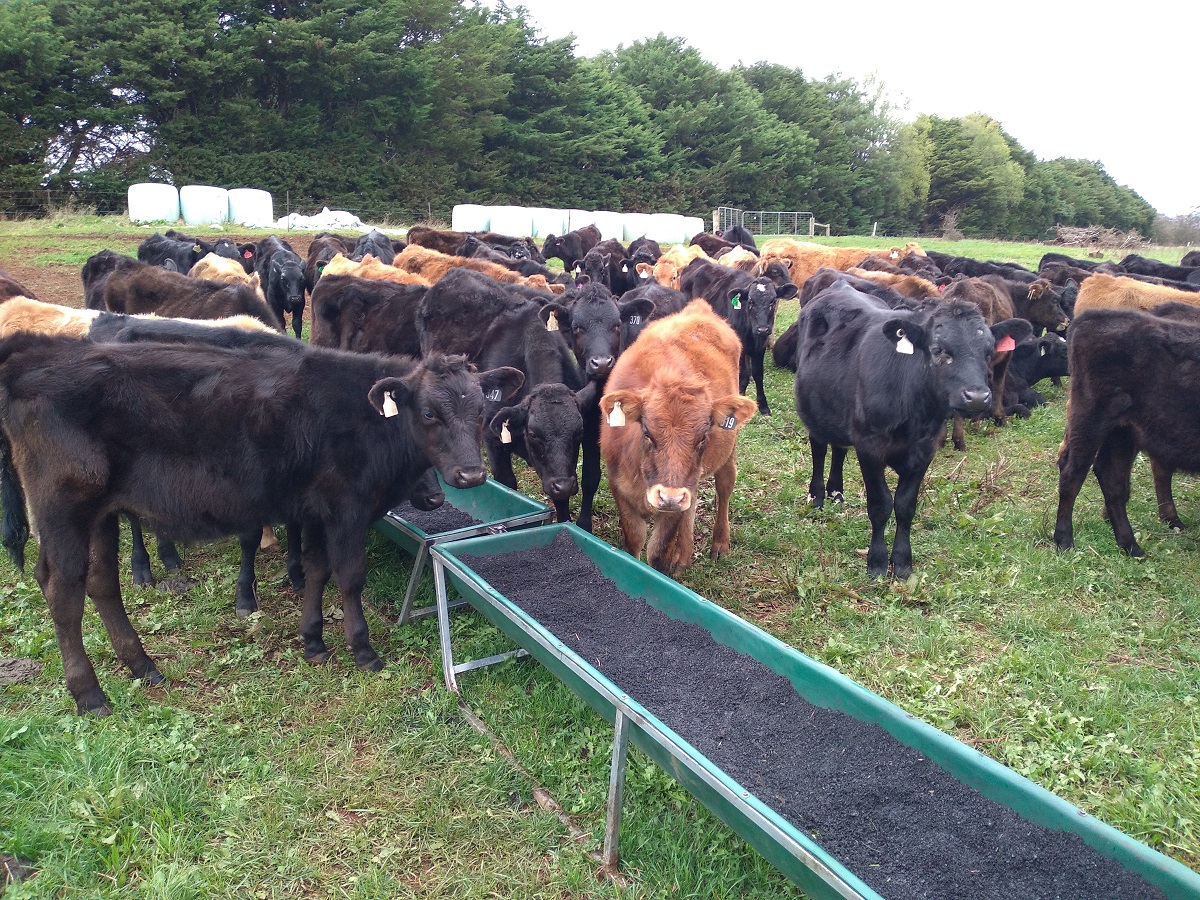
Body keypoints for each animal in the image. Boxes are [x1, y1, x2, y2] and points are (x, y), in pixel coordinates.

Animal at [0, 333, 523, 715]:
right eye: (429, 411)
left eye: (481, 411)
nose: (470, 475)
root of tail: (32, 362)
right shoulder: (347, 508)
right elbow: (349, 577)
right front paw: (362, 650)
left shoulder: (316, 511)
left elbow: (316, 570)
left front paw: (313, 641)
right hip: (63, 509)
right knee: (62, 591)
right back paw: (90, 694)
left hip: (101, 515)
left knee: (102, 583)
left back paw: (141, 665)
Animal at [599, 300, 757, 575]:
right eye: (647, 433)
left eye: (703, 437)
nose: (669, 497)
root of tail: (699, 309)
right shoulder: (618, 486)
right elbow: (634, 540)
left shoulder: (672, 509)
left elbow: (658, 552)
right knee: (691, 504)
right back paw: (683, 557)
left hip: (727, 451)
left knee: (725, 485)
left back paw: (720, 543)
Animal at [679, 258, 798, 415]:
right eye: (751, 301)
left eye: (772, 301)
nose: (763, 329)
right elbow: (743, 376)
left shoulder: (760, 347)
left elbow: (758, 374)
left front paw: (763, 406)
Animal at [794, 282, 1018, 577]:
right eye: (938, 349)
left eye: (988, 352)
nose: (978, 397)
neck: (913, 413)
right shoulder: (870, 446)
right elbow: (880, 505)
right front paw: (877, 562)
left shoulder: (924, 451)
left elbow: (905, 506)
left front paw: (902, 562)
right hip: (815, 411)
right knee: (819, 449)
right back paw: (818, 498)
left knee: (839, 449)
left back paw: (836, 494)